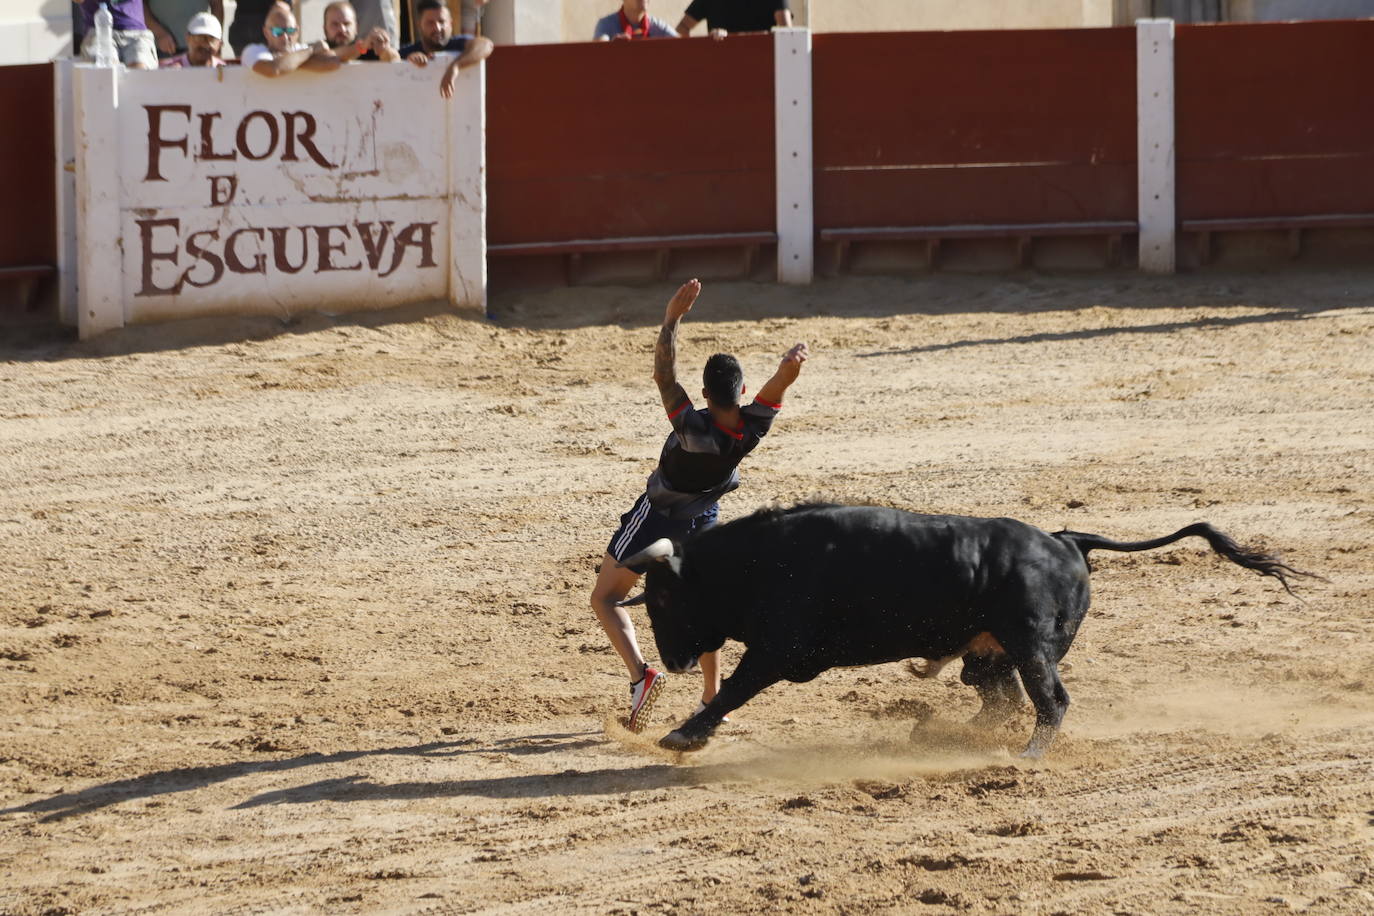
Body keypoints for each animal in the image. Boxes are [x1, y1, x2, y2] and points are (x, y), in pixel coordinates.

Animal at [623, 505, 1308, 758]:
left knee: (1050, 700)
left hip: (1033, 648)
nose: (675, 661)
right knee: (998, 697)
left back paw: (1026, 755)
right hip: (994, 654)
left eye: (662, 602)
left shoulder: (777, 650)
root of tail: (1067, 540)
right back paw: (957, 734)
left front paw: (683, 734)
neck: (760, 560)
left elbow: (734, 689)